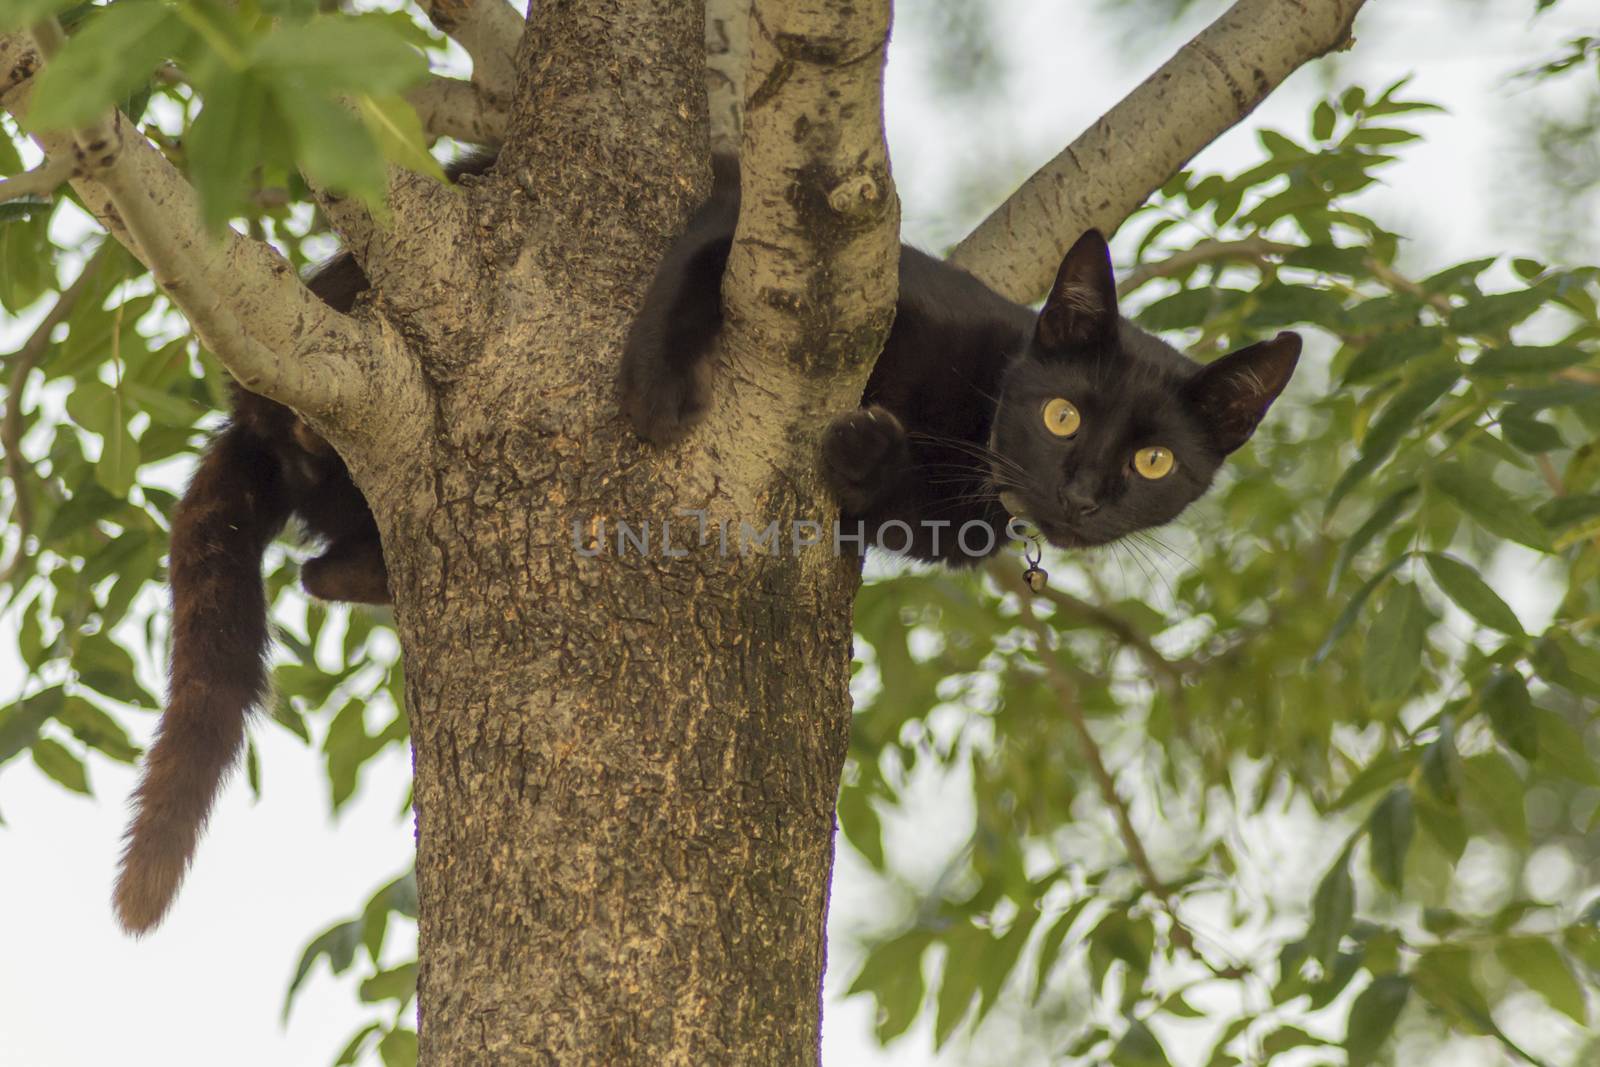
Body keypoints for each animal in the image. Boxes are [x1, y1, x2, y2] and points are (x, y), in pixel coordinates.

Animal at [617, 157, 1305, 563]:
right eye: (1062, 417)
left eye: (1154, 461)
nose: (1080, 497)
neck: (973, 422)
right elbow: (703, 260)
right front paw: (658, 390)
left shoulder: (942, 528)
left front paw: (868, 453)